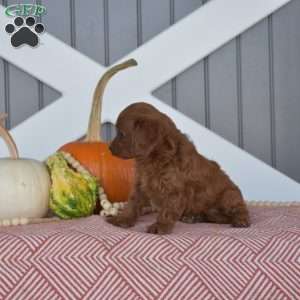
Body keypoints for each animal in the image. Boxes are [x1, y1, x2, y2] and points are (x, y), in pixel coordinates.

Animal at [106, 103, 250, 234]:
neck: (151, 159)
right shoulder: (140, 185)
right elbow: (132, 203)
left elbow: (167, 210)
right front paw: (122, 219)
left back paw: (241, 220)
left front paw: (160, 226)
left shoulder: (175, 190)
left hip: (229, 195)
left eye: (121, 134)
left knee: (238, 210)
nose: (109, 148)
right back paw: (194, 217)